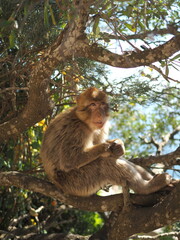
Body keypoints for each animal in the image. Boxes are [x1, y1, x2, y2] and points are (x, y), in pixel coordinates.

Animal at [40, 87, 172, 196]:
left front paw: (119, 145)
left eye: (102, 105)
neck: (84, 122)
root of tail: (58, 185)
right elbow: (69, 160)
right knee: (103, 164)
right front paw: (106, 147)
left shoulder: (101, 127)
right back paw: (146, 188)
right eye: (93, 105)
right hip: (77, 183)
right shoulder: (76, 130)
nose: (100, 114)